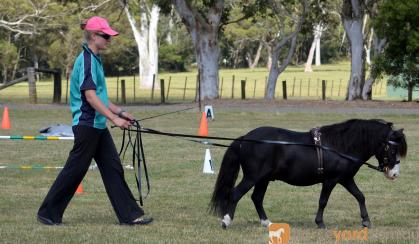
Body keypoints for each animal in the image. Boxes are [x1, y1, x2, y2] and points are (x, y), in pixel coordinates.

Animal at [212, 119, 408, 228]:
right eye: (392, 149)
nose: (394, 174)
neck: (340, 146)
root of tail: (245, 138)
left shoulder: (345, 179)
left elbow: (360, 196)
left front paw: (366, 221)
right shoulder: (331, 180)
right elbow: (323, 201)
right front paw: (320, 223)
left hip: (263, 179)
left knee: (257, 198)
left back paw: (267, 223)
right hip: (252, 177)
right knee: (235, 194)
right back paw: (226, 221)